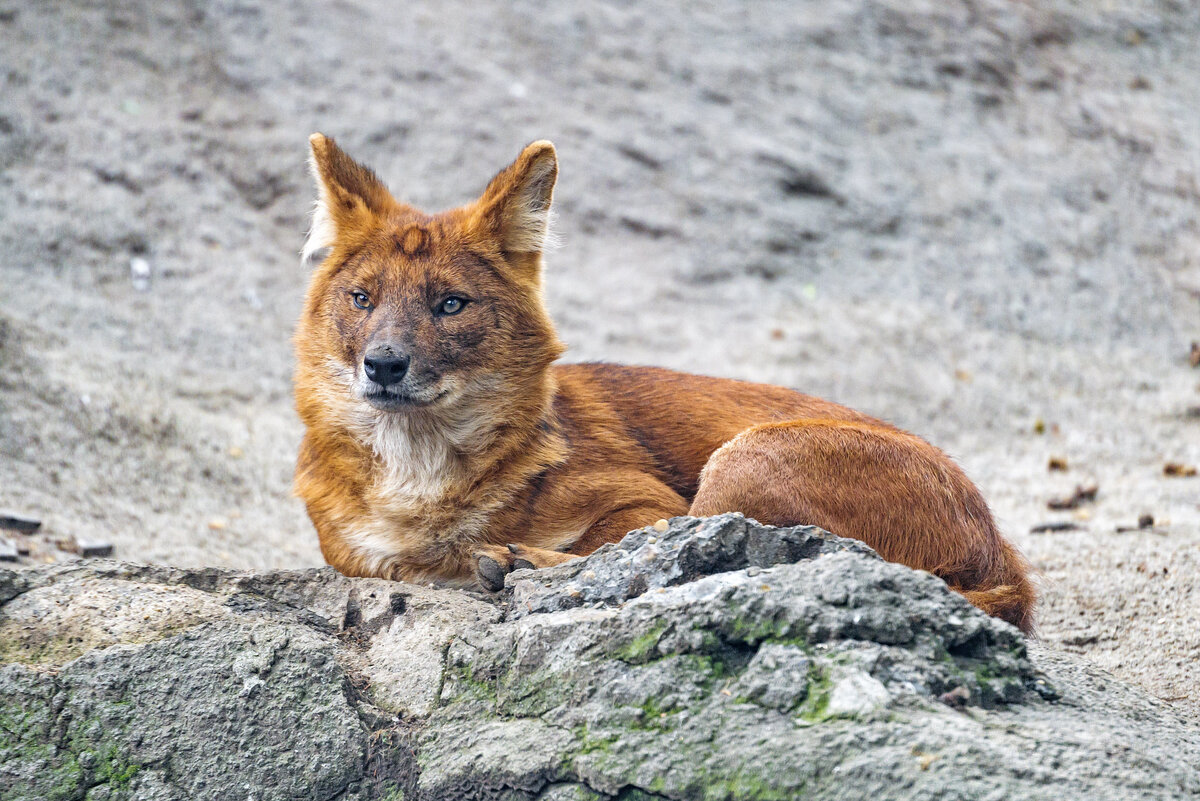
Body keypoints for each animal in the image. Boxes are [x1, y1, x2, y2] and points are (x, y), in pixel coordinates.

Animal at [295, 136, 1036, 633]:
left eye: (450, 304)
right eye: (362, 299)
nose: (383, 363)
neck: (419, 481)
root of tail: (1001, 551)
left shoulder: (647, 499)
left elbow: (620, 543)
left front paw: (512, 555)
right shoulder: (355, 553)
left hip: (751, 456)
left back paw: (517, 563)